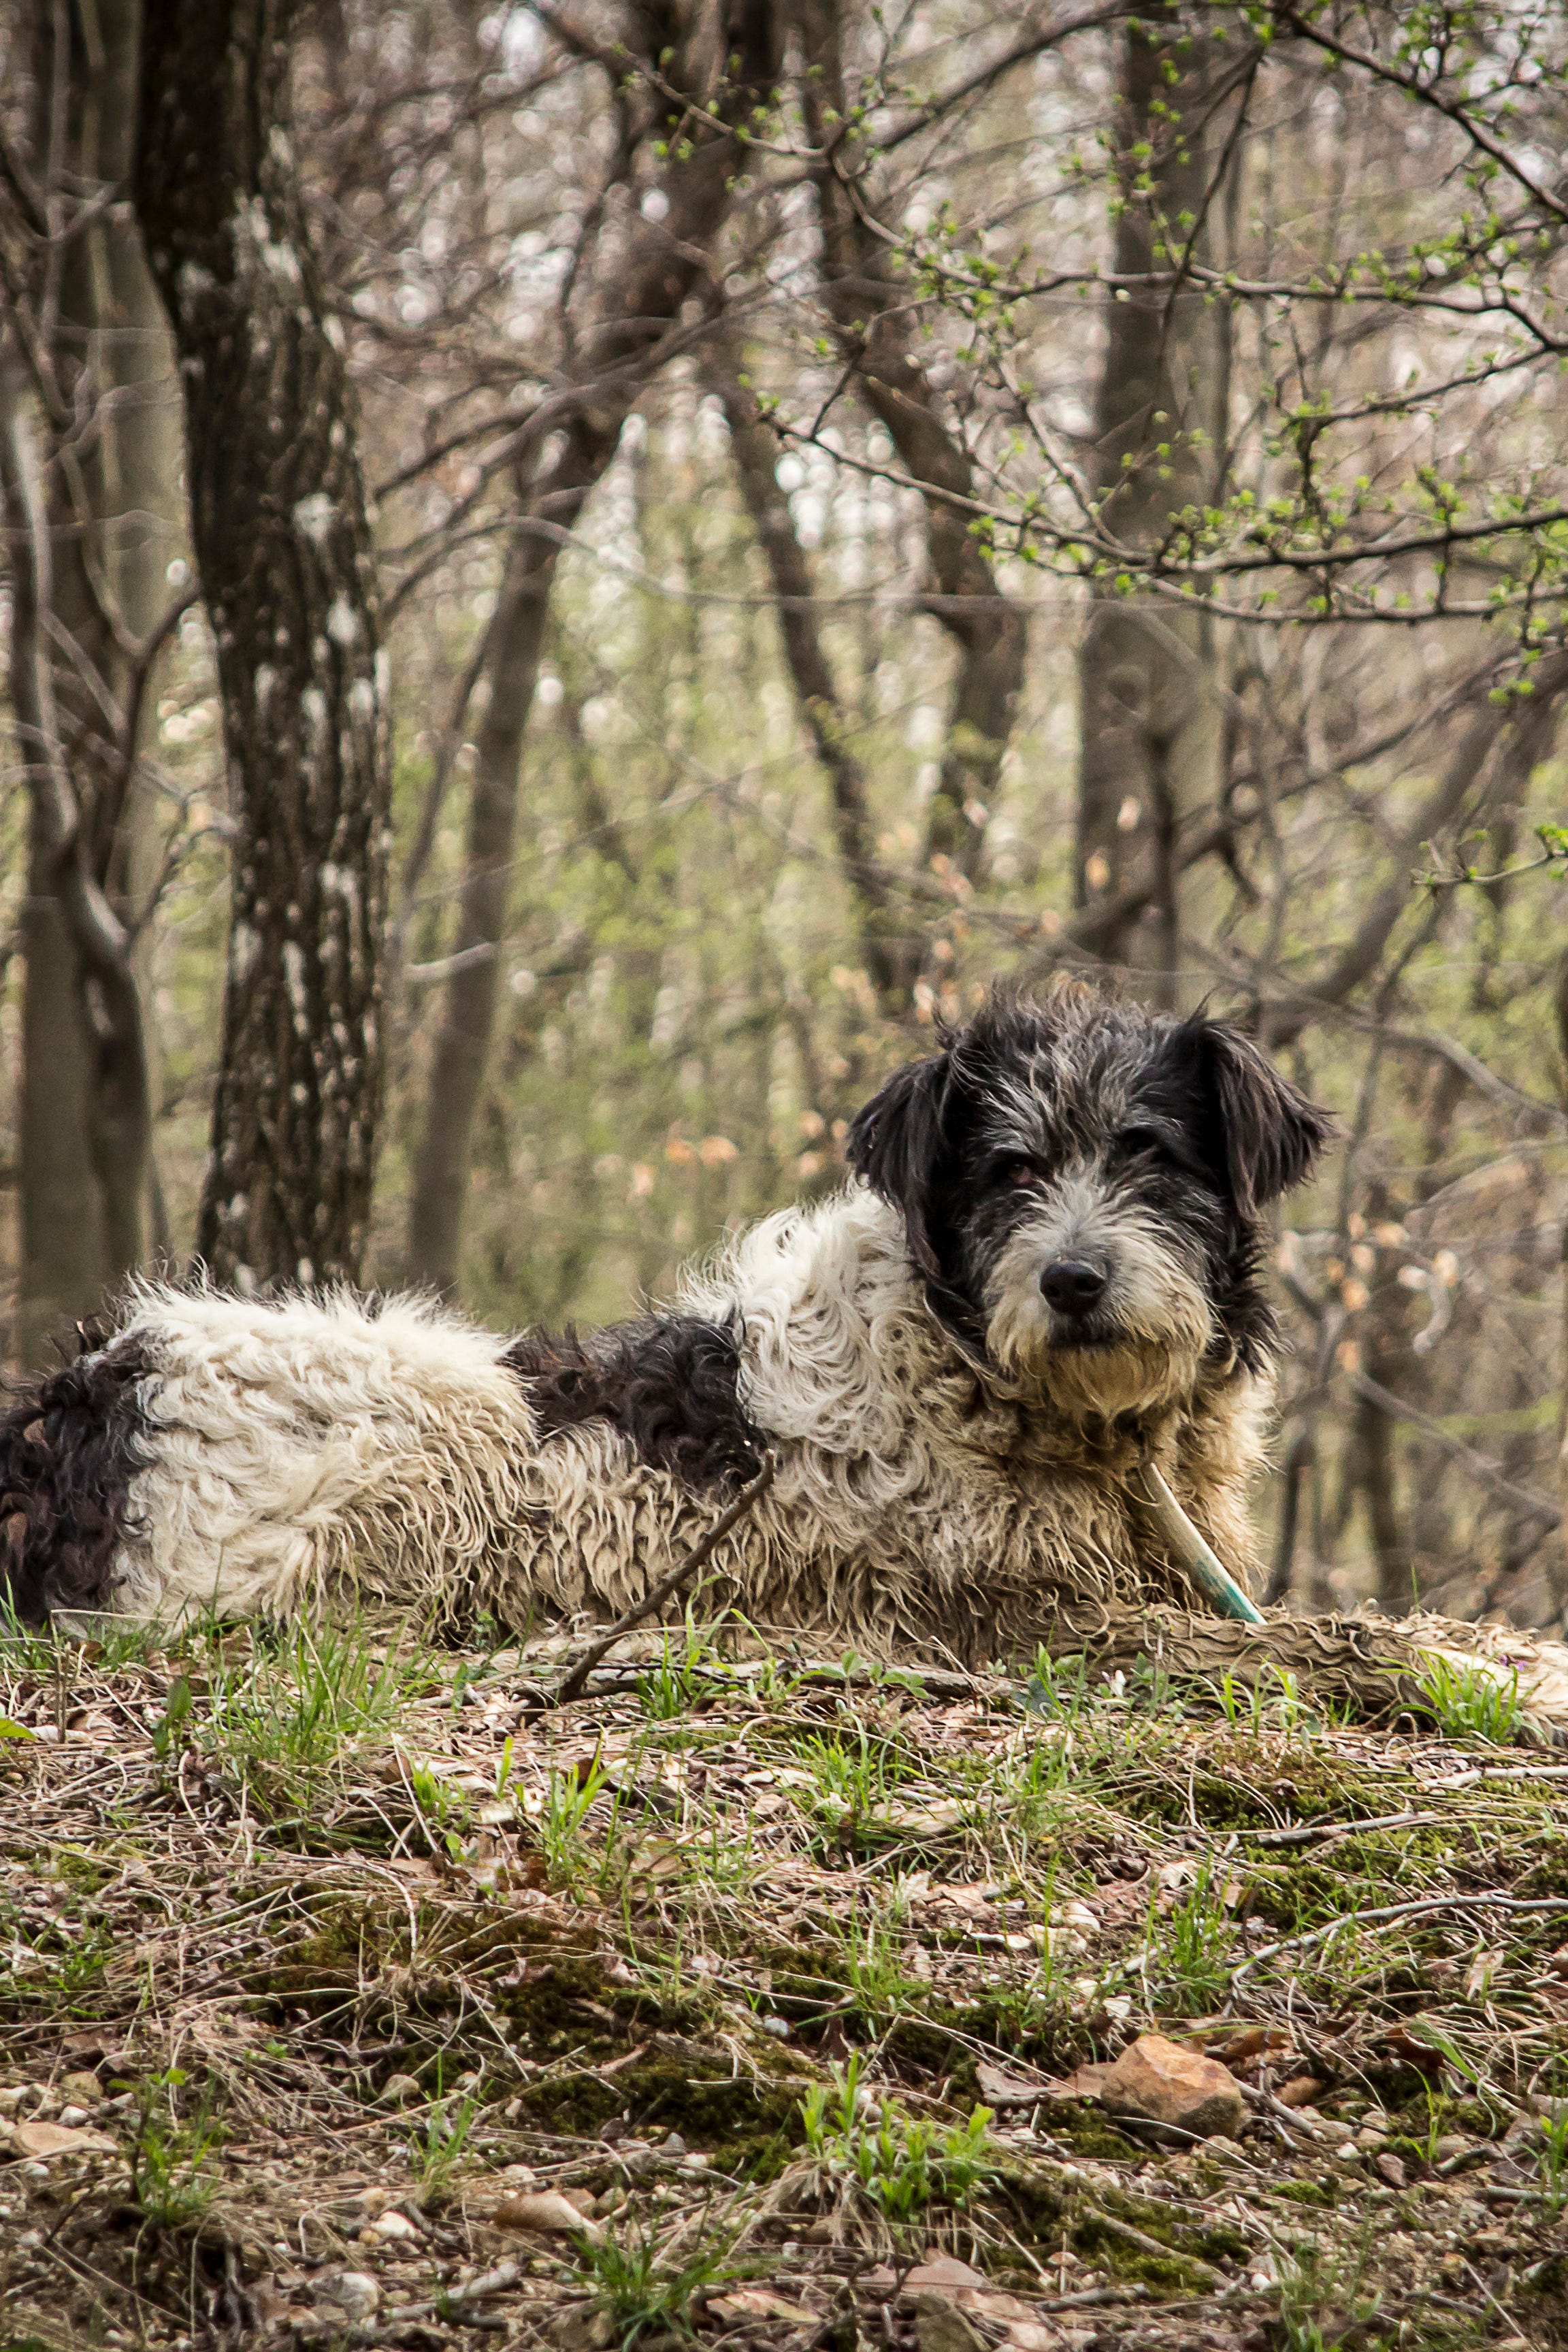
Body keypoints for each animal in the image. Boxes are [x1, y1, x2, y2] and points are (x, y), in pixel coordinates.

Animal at [0, 987, 1335, 1656]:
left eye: (1147, 1153)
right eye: (1008, 1170)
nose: (1071, 1280)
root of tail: (90, 1397)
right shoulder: (1021, 1598)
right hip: (451, 1416)